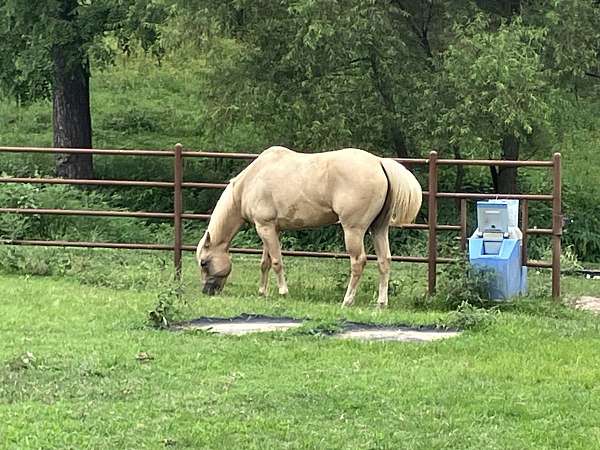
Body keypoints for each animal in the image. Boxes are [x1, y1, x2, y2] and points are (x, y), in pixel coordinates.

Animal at [197, 146, 422, 308]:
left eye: (204, 263)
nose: (207, 292)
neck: (250, 181)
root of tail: (378, 162)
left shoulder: (265, 228)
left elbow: (277, 262)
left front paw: (282, 292)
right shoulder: (271, 229)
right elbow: (265, 263)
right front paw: (262, 292)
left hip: (354, 230)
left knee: (358, 262)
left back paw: (347, 300)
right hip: (379, 229)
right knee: (384, 261)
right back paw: (381, 303)